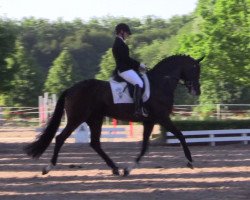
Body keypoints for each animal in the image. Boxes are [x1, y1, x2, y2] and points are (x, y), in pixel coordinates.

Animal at [24, 54, 203, 177]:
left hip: (94, 119)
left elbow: (144, 147)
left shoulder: (149, 121)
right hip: (77, 118)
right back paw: (48, 168)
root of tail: (71, 89)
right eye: (195, 69)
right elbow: (180, 135)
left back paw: (115, 168)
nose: (197, 91)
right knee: (61, 138)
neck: (160, 83)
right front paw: (190, 161)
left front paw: (128, 169)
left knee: (95, 143)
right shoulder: (162, 118)